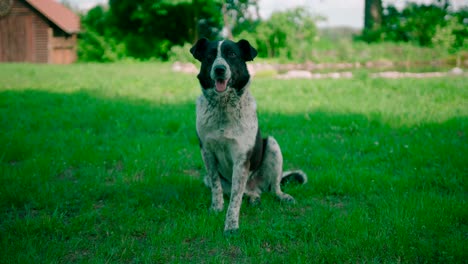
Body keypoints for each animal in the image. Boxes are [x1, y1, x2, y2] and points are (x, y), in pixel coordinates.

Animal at [190, 37, 308, 233]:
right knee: (244, 191)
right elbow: (216, 187)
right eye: (210, 55)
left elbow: (235, 199)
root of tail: (255, 186)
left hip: (273, 146)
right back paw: (253, 197)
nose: (219, 69)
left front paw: (231, 225)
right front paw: (216, 208)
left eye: (232, 54)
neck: (223, 108)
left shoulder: (241, 157)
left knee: (273, 187)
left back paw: (281, 196)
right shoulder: (207, 152)